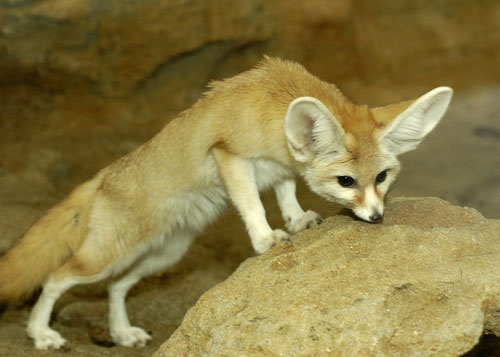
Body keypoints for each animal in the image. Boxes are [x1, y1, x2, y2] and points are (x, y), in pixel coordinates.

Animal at [0, 57, 454, 348]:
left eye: (381, 178)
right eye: (346, 181)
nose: (376, 217)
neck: (276, 100)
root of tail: (104, 176)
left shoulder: (281, 165)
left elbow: (286, 190)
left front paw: (296, 219)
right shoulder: (230, 156)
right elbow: (253, 204)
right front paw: (266, 238)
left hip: (161, 255)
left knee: (116, 286)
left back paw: (121, 332)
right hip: (107, 256)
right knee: (55, 278)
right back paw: (40, 333)